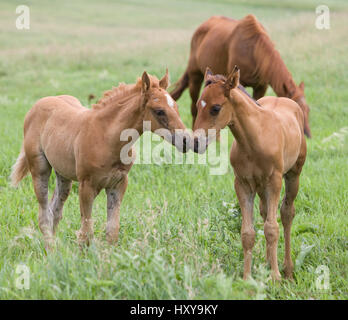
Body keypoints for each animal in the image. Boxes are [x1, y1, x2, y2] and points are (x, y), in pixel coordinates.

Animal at [11, 70, 190, 250]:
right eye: (159, 111)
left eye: (176, 106)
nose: (186, 140)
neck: (106, 137)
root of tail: (39, 103)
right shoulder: (86, 186)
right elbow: (86, 231)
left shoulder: (118, 184)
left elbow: (112, 230)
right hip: (39, 169)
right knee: (44, 215)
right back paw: (51, 250)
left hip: (64, 175)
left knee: (55, 210)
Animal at [170, 14, 312, 138]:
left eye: (308, 110)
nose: (306, 135)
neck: (253, 49)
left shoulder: (261, 86)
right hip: (195, 76)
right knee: (194, 108)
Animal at [193, 67, 308, 280]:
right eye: (198, 105)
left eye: (215, 108)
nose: (195, 143)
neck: (255, 139)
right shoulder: (243, 184)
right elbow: (248, 233)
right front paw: (247, 279)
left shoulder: (274, 182)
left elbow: (272, 228)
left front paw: (275, 278)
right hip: (260, 186)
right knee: (264, 212)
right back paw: (267, 263)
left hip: (293, 175)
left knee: (286, 213)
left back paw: (287, 269)